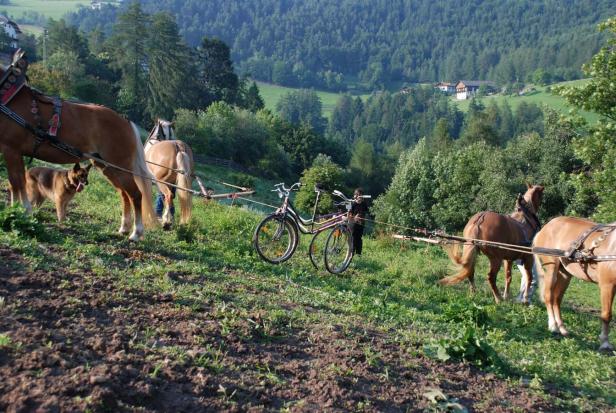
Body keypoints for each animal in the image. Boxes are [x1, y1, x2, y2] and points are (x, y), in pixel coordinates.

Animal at [0, 52, 156, 238]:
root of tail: (126, 121)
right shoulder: (11, 151)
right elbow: (13, 184)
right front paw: (15, 211)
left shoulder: (11, 149)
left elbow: (18, 183)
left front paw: (23, 212)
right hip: (107, 167)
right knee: (124, 194)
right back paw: (124, 227)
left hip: (120, 167)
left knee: (136, 195)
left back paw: (136, 233)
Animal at [536, 216, 616, 350]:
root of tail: (546, 227)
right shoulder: (607, 285)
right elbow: (606, 315)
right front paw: (605, 343)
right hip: (551, 269)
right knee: (548, 297)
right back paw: (553, 326)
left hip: (565, 274)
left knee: (557, 300)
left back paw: (562, 329)